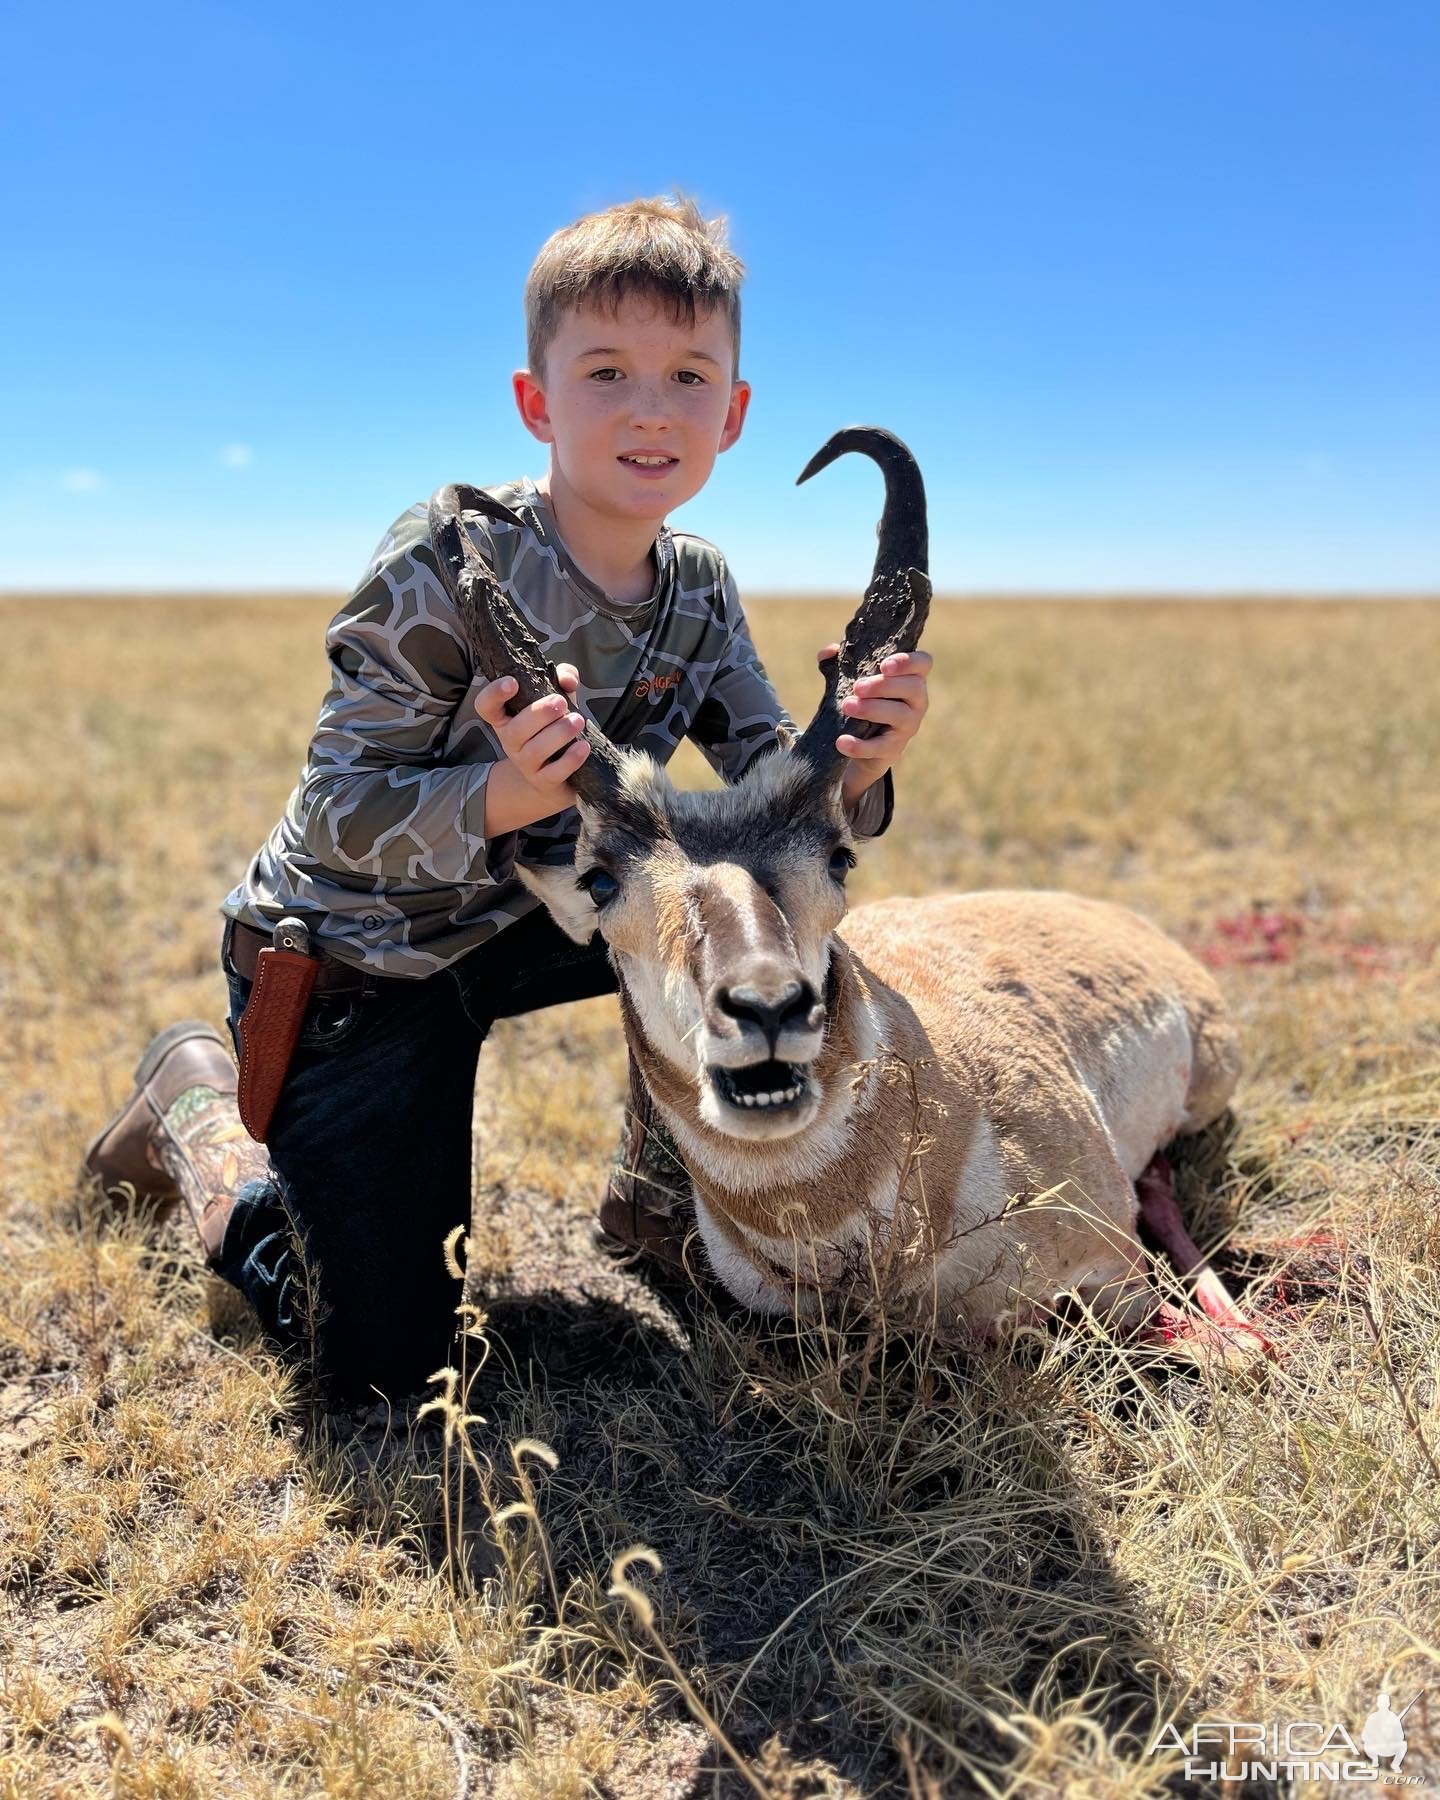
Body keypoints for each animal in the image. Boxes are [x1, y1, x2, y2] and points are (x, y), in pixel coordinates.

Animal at [430, 435, 1274, 1360]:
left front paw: (1238, 1334)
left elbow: (1189, 1337)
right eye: (600, 879)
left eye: (839, 857)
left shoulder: (1113, 1275)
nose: (766, 1007)